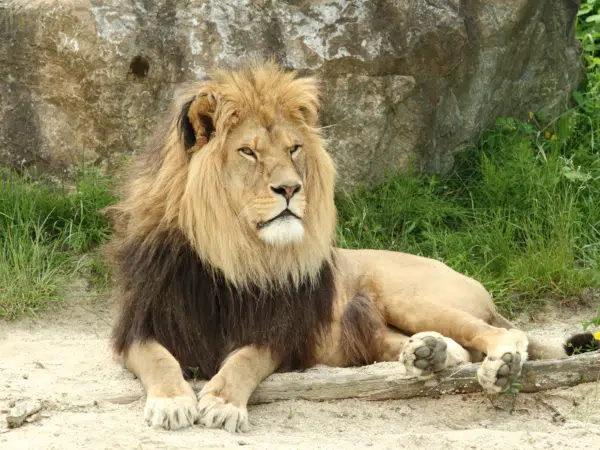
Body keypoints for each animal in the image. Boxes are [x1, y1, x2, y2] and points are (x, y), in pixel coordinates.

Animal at [105, 59, 596, 432]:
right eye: (248, 152)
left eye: (295, 148)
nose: (291, 188)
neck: (231, 250)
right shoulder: (137, 327)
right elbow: (159, 360)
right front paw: (172, 401)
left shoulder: (282, 333)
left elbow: (243, 359)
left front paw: (223, 404)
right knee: (444, 349)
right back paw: (429, 354)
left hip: (408, 294)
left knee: (501, 335)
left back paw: (499, 366)